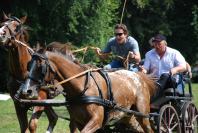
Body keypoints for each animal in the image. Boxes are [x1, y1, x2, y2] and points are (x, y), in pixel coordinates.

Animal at [21, 49, 157, 132]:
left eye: (40, 67)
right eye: (28, 65)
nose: (26, 90)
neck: (82, 86)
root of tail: (139, 76)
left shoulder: (95, 121)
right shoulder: (77, 122)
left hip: (143, 115)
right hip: (128, 117)